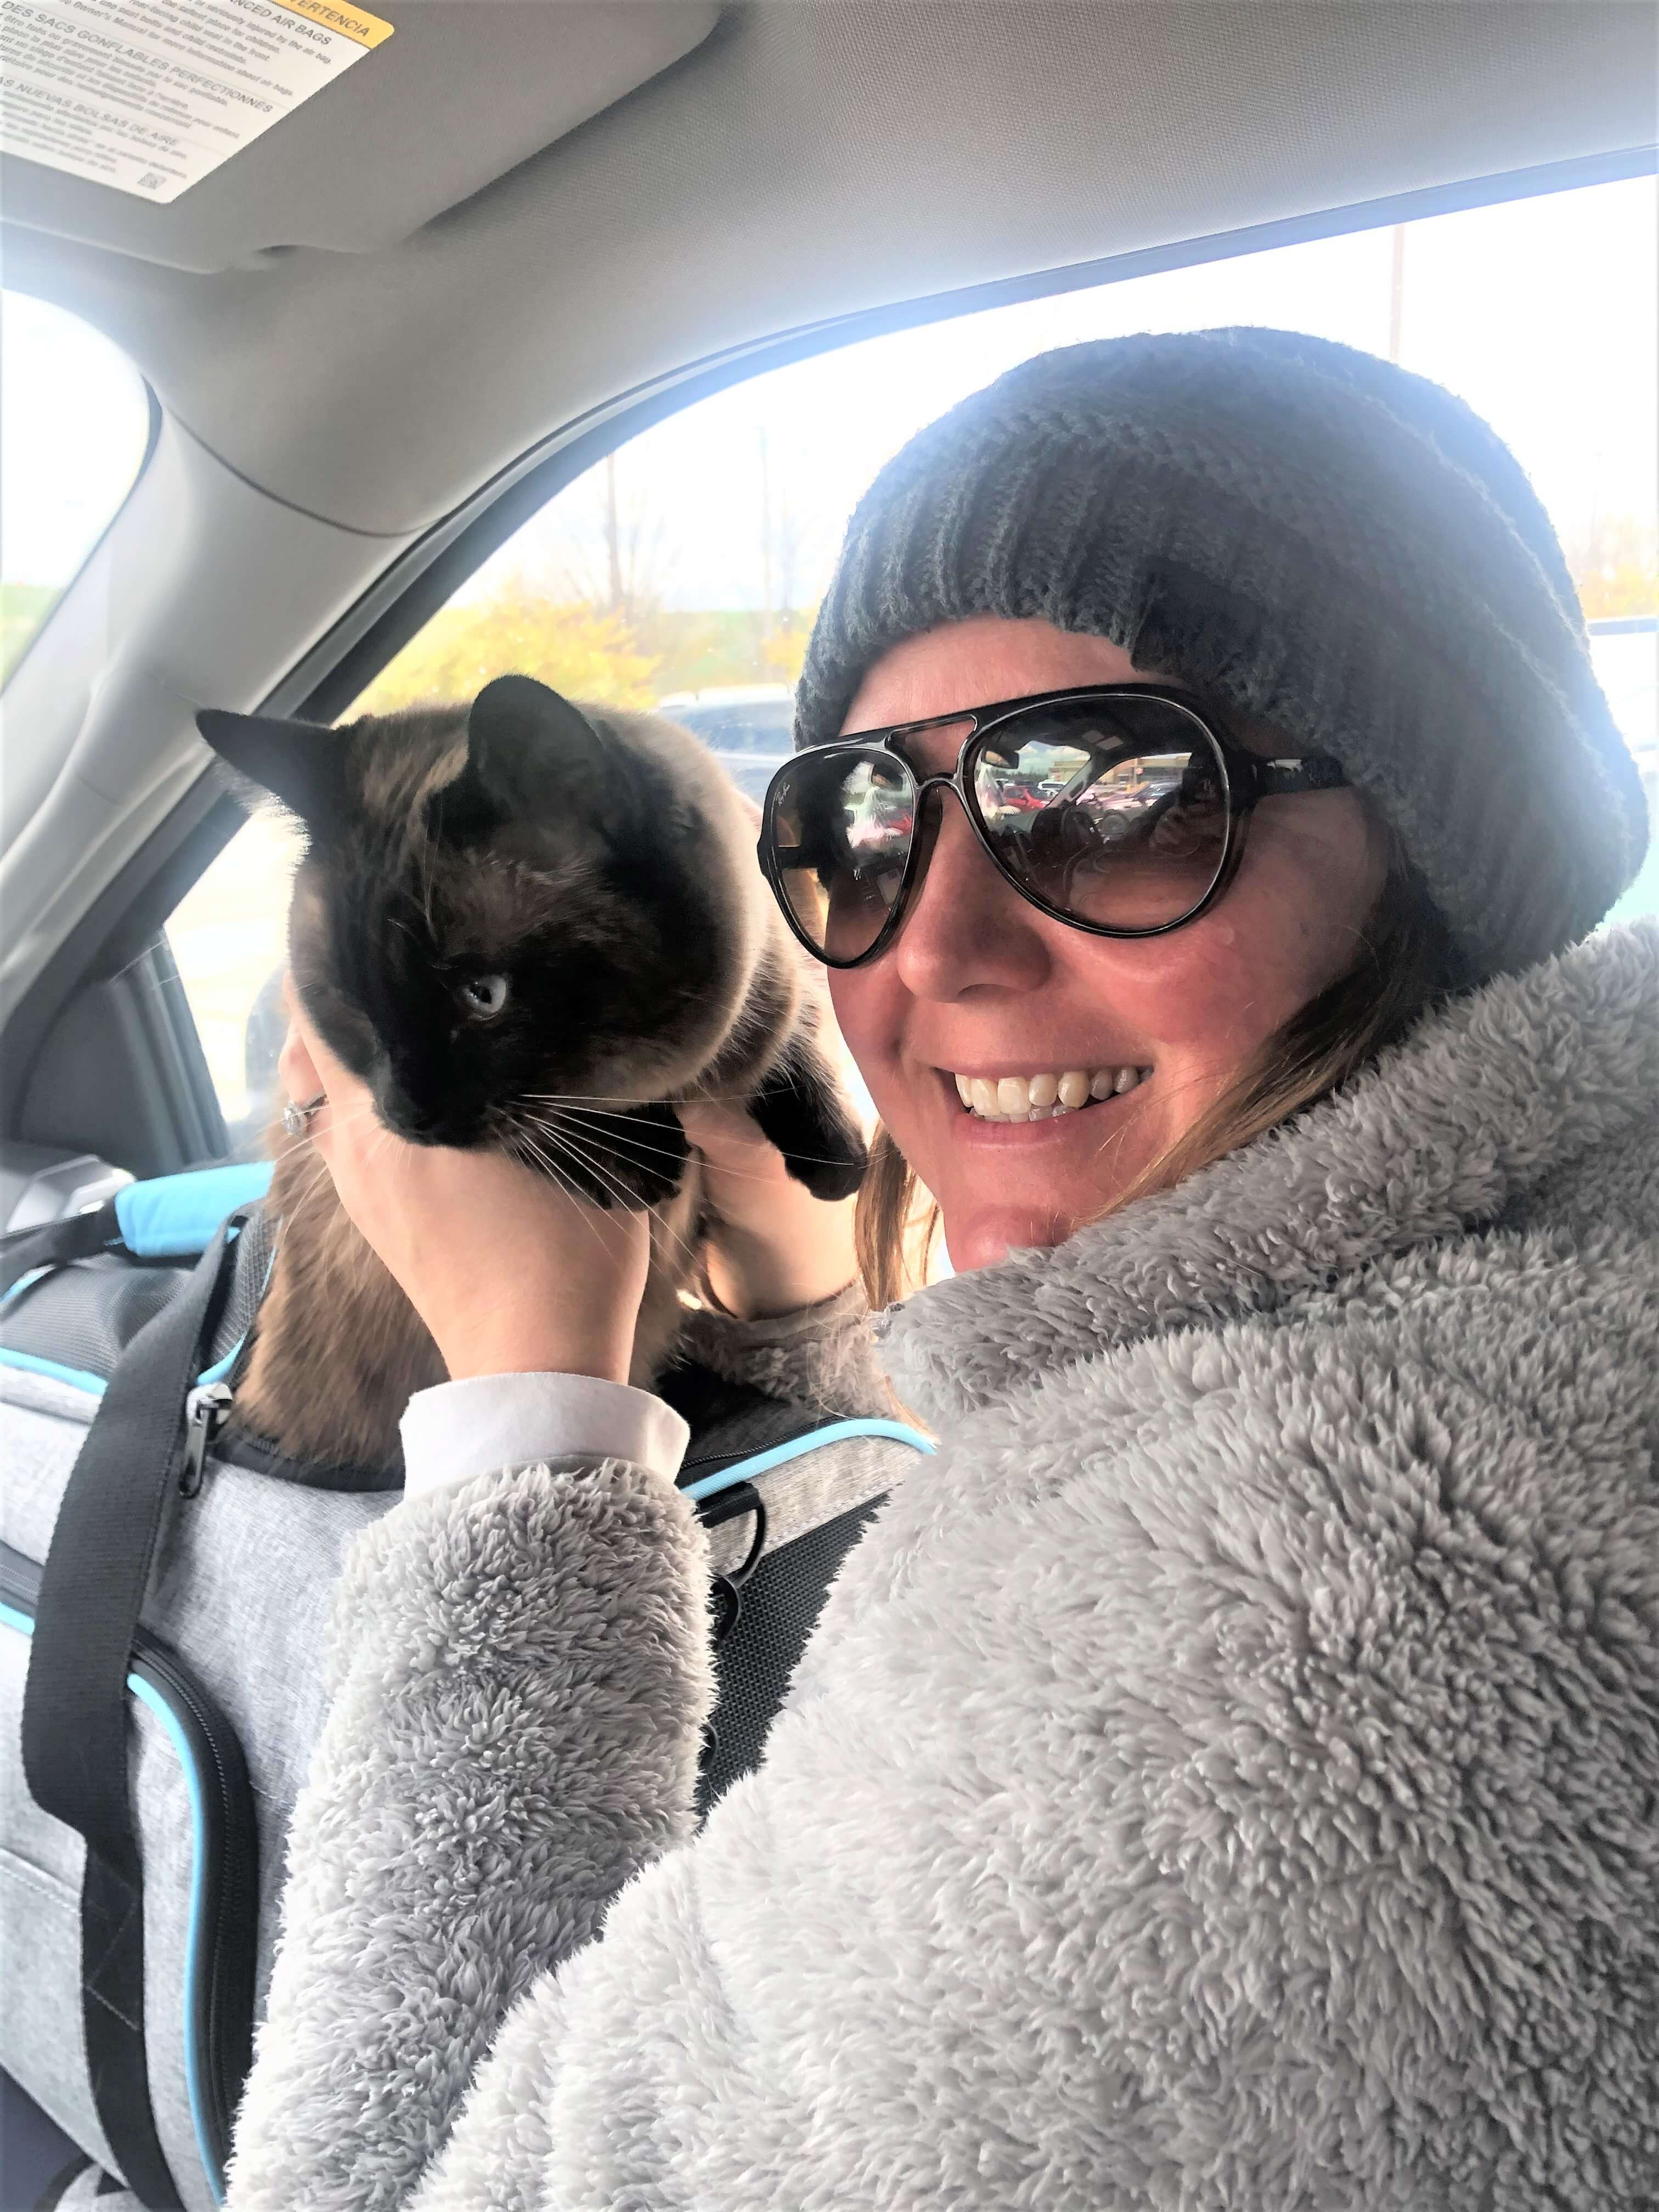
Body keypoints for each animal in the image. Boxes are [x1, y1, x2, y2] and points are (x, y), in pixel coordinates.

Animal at [194, 672, 871, 1469]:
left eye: (483, 997)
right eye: (353, 1005)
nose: (407, 1116)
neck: (679, 1082)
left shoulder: (777, 965)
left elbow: (791, 1040)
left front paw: (835, 1165)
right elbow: (558, 1129)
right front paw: (642, 1166)